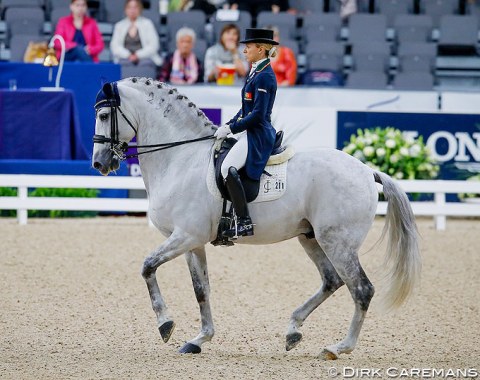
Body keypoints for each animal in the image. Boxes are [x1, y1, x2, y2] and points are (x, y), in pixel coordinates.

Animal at [91, 78, 420, 360]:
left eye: (104, 115)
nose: (99, 163)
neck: (181, 159)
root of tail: (366, 170)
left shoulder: (185, 236)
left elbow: (147, 267)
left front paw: (165, 324)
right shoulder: (192, 242)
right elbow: (201, 290)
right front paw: (199, 339)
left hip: (338, 242)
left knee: (361, 289)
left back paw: (338, 347)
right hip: (312, 237)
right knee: (332, 280)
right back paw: (293, 331)